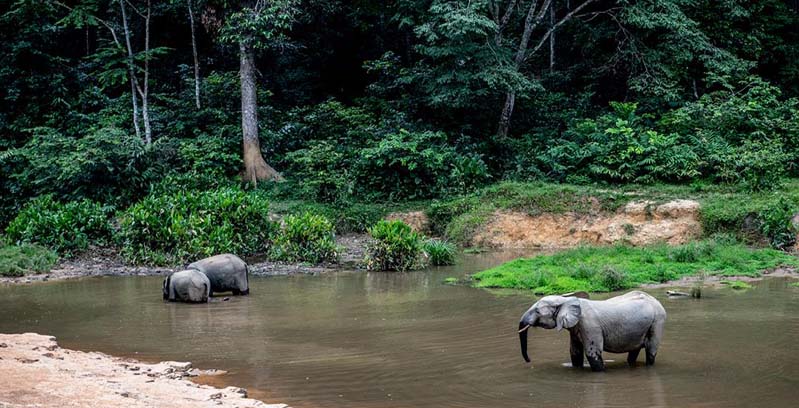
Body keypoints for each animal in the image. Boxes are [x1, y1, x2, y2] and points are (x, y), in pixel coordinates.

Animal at [516, 288, 664, 372]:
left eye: (537, 311)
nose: (529, 361)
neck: (566, 300)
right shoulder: (575, 328)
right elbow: (575, 352)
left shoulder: (590, 326)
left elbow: (592, 353)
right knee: (633, 352)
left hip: (657, 321)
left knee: (651, 351)